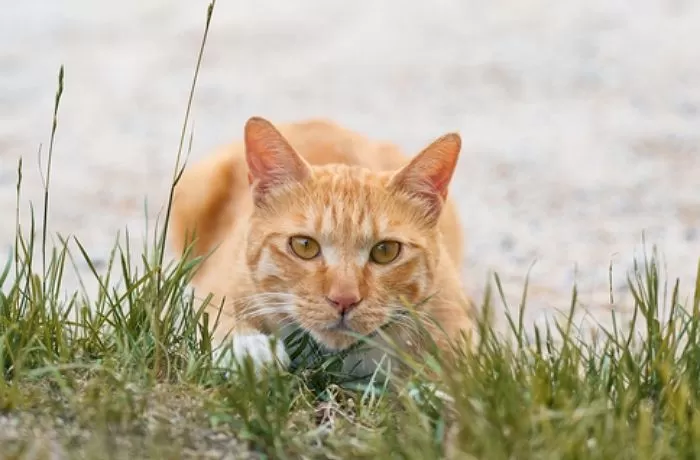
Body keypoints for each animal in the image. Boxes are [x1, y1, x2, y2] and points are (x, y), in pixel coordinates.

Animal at [169, 117, 474, 376]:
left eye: (385, 251)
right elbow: (215, 314)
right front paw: (248, 348)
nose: (344, 300)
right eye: (304, 246)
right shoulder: (220, 284)